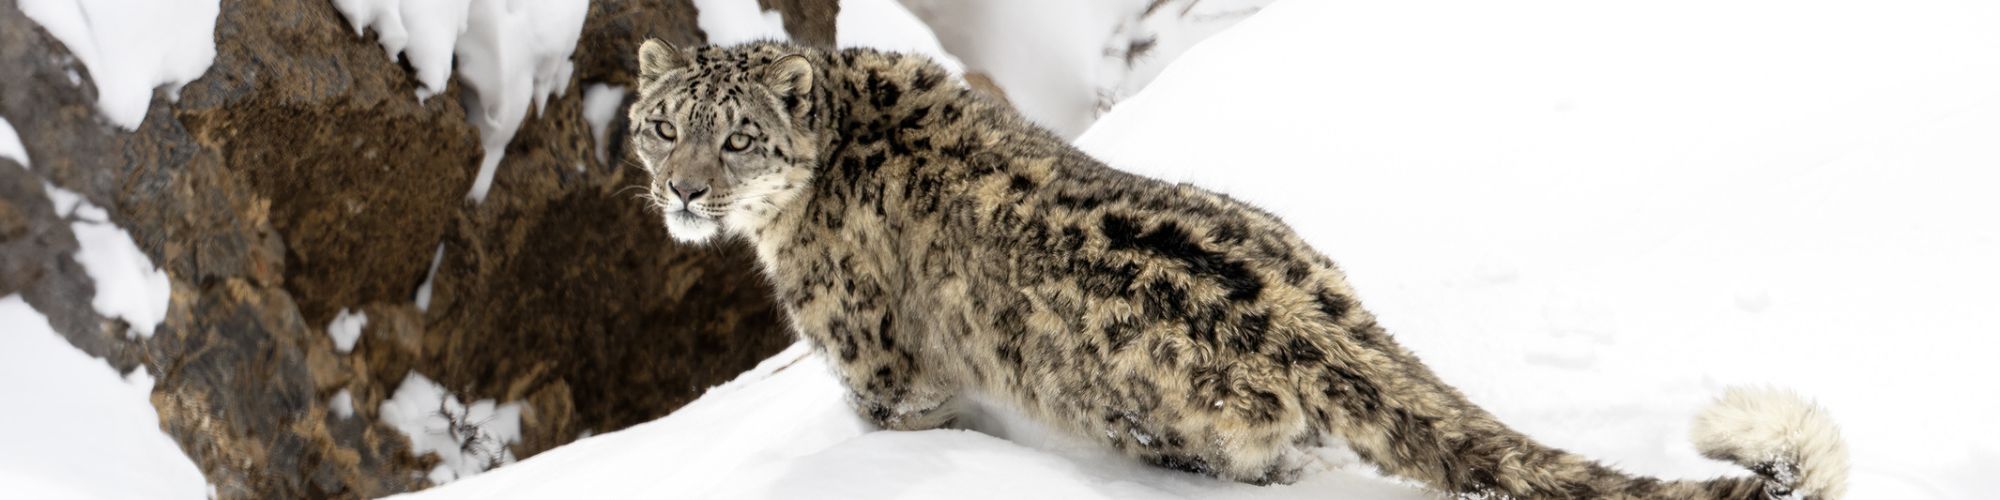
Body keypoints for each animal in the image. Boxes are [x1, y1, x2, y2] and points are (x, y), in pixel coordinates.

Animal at [628, 40, 1856, 500]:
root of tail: (1312, 310)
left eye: (737, 138)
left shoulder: (885, 379)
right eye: (661, 125)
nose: (682, 191)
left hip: (1153, 415)